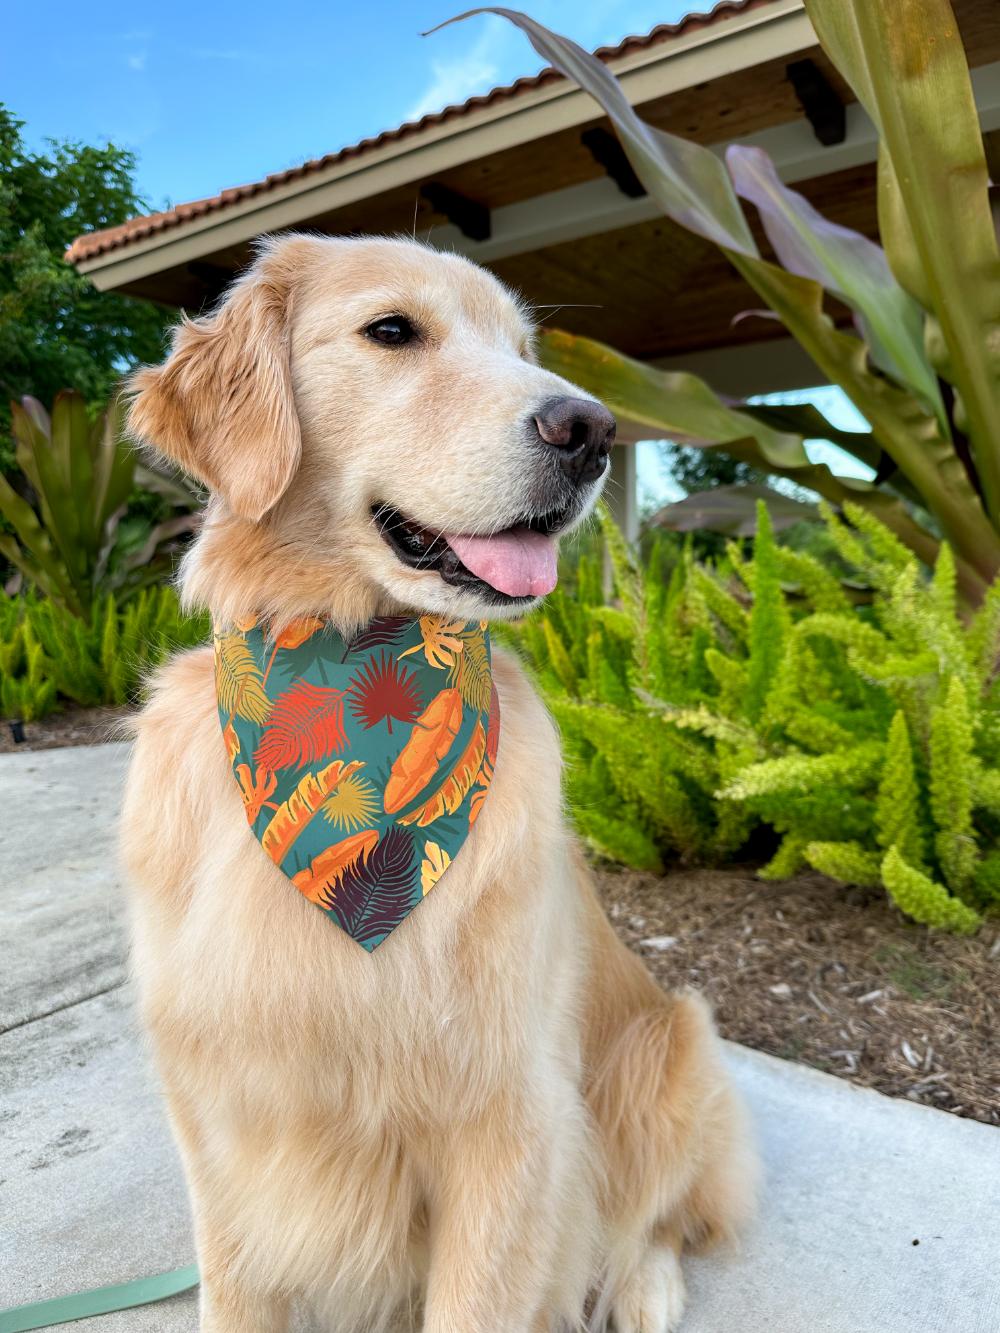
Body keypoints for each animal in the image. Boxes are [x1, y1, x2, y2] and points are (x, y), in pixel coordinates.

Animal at [121, 234, 757, 1327]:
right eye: (391, 330)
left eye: (522, 348)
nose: (591, 428)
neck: (349, 671)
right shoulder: (214, 1116)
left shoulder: (508, 1121)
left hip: (670, 1055)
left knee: (658, 1212)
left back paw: (644, 1285)